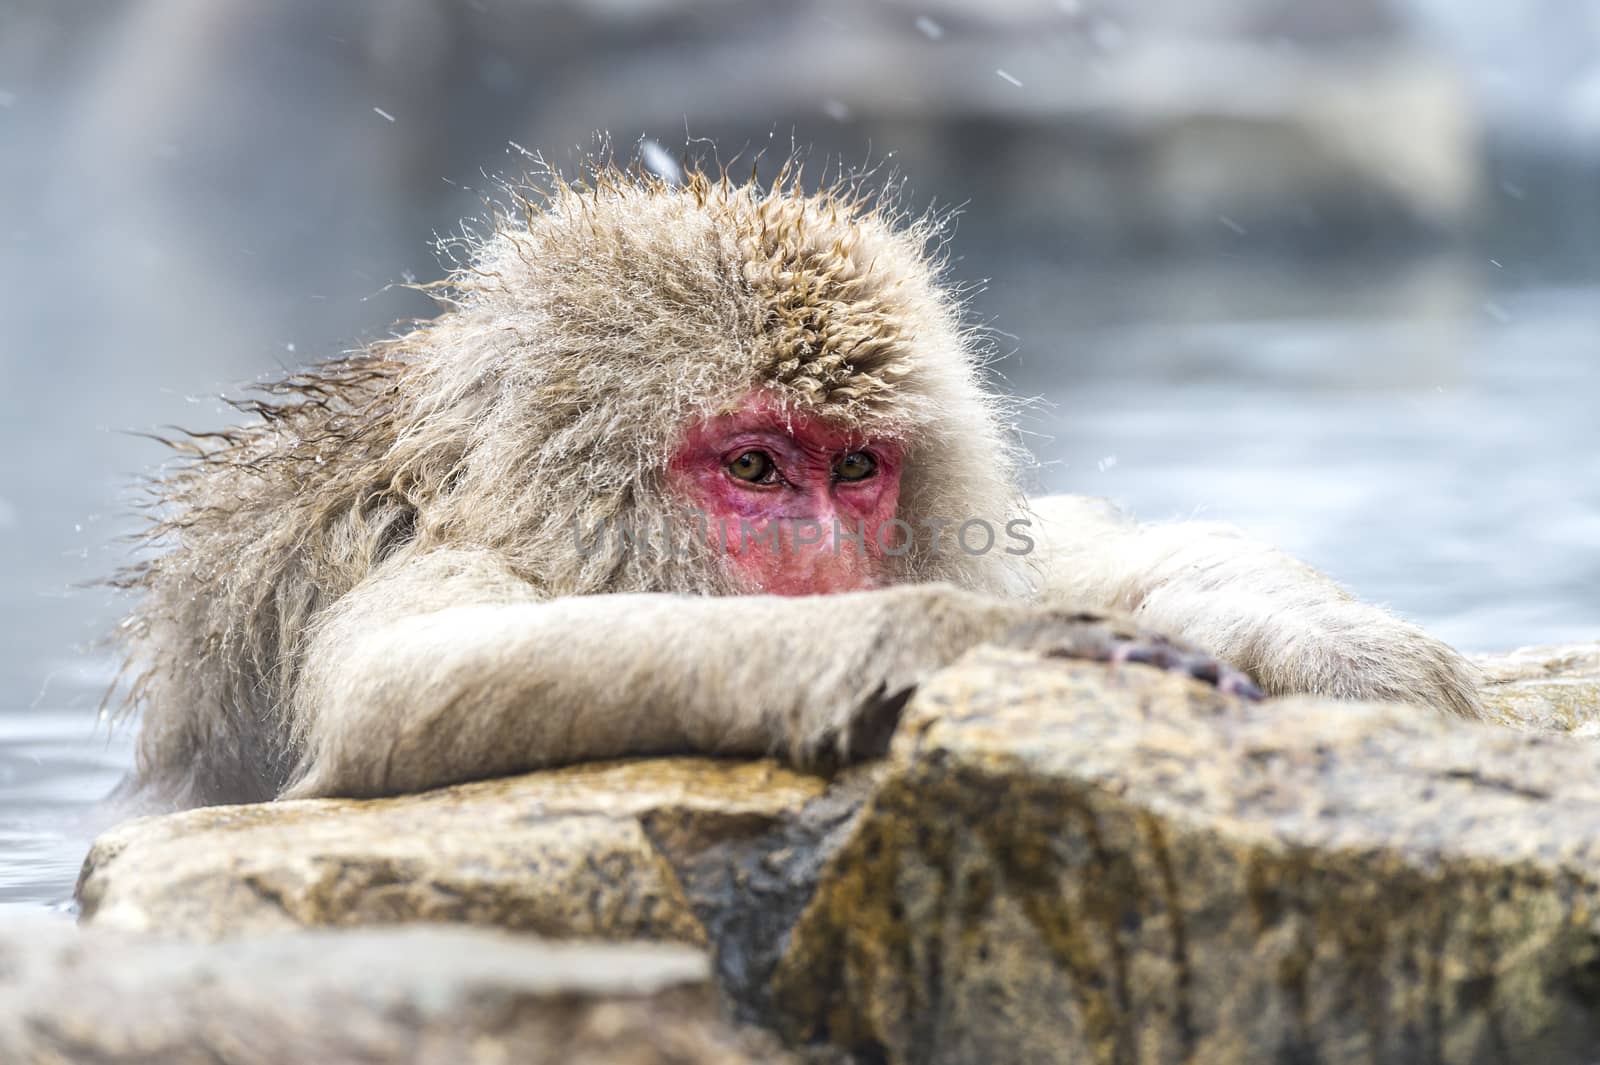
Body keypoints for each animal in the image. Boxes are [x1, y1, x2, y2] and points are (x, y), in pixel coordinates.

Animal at [112, 163, 1478, 805]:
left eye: (857, 468)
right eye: (757, 469)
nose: (828, 559)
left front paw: (1339, 656)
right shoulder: (439, 561)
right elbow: (407, 687)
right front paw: (952, 641)